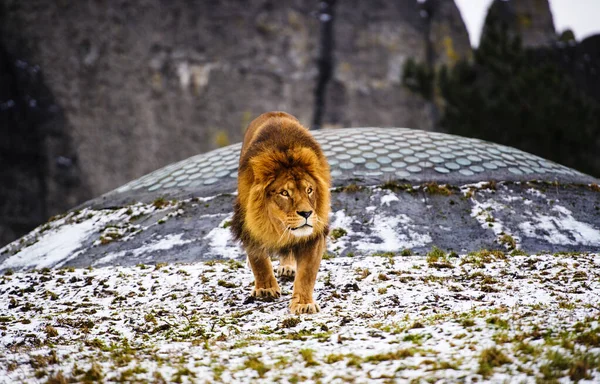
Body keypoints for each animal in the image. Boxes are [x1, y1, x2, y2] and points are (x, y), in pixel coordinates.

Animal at [232, 111, 330, 316]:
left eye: (309, 190)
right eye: (284, 193)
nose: (307, 213)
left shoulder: (314, 233)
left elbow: (307, 273)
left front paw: (303, 304)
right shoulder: (248, 223)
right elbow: (258, 259)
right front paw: (266, 289)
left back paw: (288, 267)